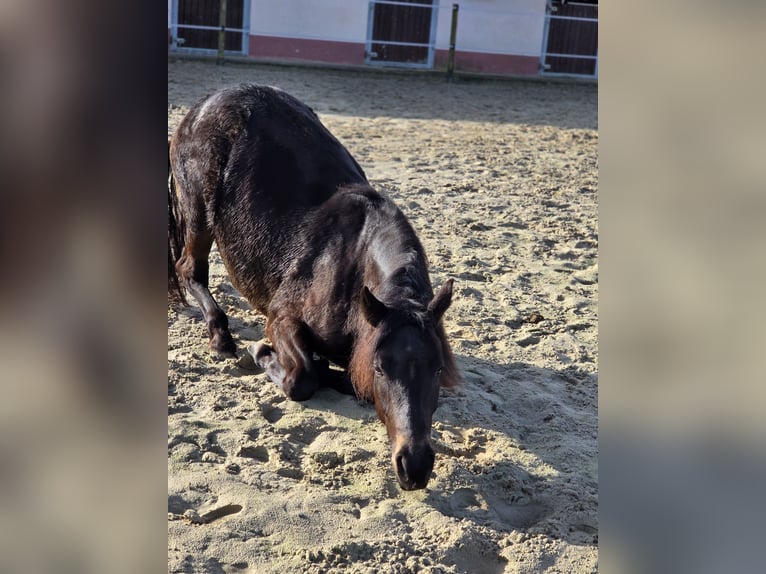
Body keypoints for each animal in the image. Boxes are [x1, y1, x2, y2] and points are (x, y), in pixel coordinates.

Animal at [168, 84, 456, 490]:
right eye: (381, 368)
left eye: (436, 367)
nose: (414, 467)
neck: (350, 262)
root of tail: (203, 105)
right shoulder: (282, 318)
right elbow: (302, 376)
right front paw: (263, 353)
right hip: (198, 216)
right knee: (190, 270)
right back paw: (221, 335)